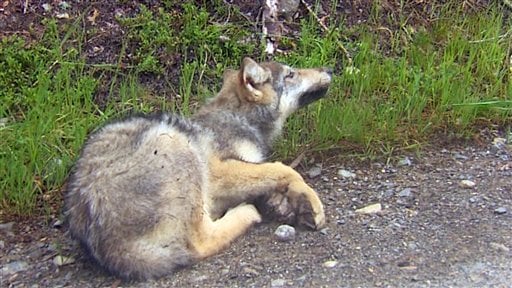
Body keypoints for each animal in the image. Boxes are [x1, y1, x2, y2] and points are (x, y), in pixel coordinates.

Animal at [64, 57, 334, 280]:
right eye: (291, 74)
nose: (329, 69)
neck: (238, 118)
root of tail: (115, 253)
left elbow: (275, 177)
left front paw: (287, 205)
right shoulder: (220, 173)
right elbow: (286, 170)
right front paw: (311, 203)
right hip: (176, 144)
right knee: (199, 242)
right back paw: (245, 213)